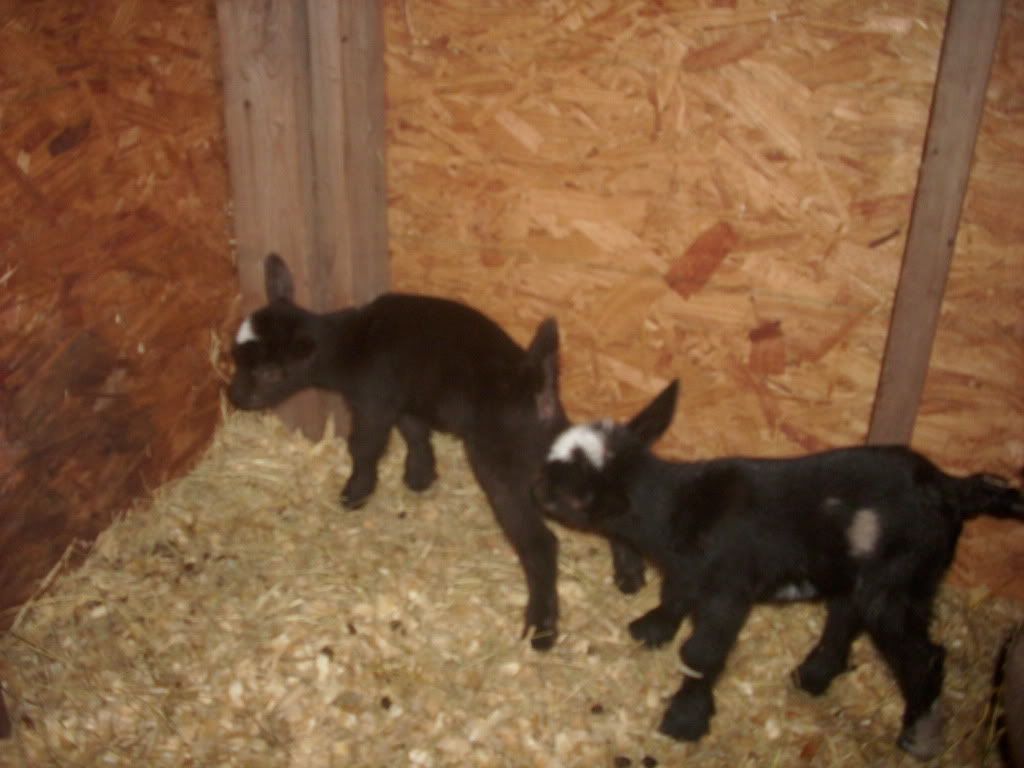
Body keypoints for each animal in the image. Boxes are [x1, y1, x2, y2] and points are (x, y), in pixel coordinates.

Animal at [227, 253, 646, 650]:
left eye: (269, 373)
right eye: (236, 356)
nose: (234, 397)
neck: (350, 341)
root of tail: (534, 382)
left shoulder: (374, 400)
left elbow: (365, 446)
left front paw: (355, 493)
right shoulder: (406, 397)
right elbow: (414, 431)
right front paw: (419, 476)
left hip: (502, 464)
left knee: (540, 544)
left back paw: (541, 630)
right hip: (544, 449)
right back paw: (629, 576)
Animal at [533, 379, 1024, 759]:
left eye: (568, 488)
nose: (533, 486)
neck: (679, 506)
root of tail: (951, 489)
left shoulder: (729, 589)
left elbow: (702, 652)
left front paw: (685, 718)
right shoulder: (692, 571)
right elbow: (674, 597)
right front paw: (652, 629)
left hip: (900, 579)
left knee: (923, 657)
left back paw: (919, 736)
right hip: (861, 571)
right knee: (845, 615)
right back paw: (815, 674)